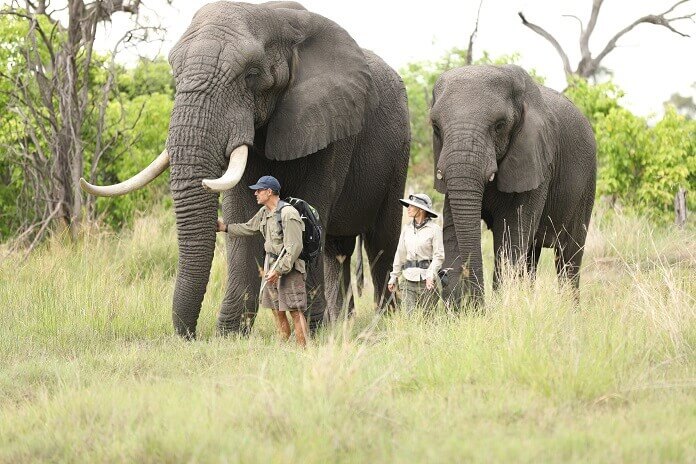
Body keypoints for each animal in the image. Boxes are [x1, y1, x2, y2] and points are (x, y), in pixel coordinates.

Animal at [81, 1, 410, 338]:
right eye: (175, 72)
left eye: (251, 74)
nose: (190, 336)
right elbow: (242, 216)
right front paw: (231, 334)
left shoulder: (332, 126)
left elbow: (308, 212)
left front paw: (310, 331)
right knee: (336, 249)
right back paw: (341, 323)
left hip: (399, 151)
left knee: (381, 241)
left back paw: (385, 320)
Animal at [429, 64, 596, 306]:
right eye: (435, 127)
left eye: (499, 126)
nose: (441, 275)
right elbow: (453, 231)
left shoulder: (535, 158)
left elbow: (511, 234)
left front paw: (499, 306)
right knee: (531, 256)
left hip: (587, 183)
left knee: (569, 257)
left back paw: (570, 309)